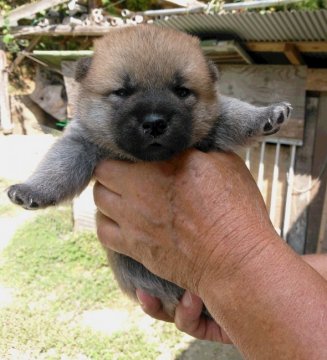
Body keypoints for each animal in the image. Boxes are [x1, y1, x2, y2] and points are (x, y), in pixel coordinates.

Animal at [7, 25, 292, 316]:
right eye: (122, 92)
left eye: (182, 91)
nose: (155, 123)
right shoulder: (80, 142)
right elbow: (58, 168)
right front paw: (31, 190)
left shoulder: (213, 124)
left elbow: (235, 112)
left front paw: (267, 115)